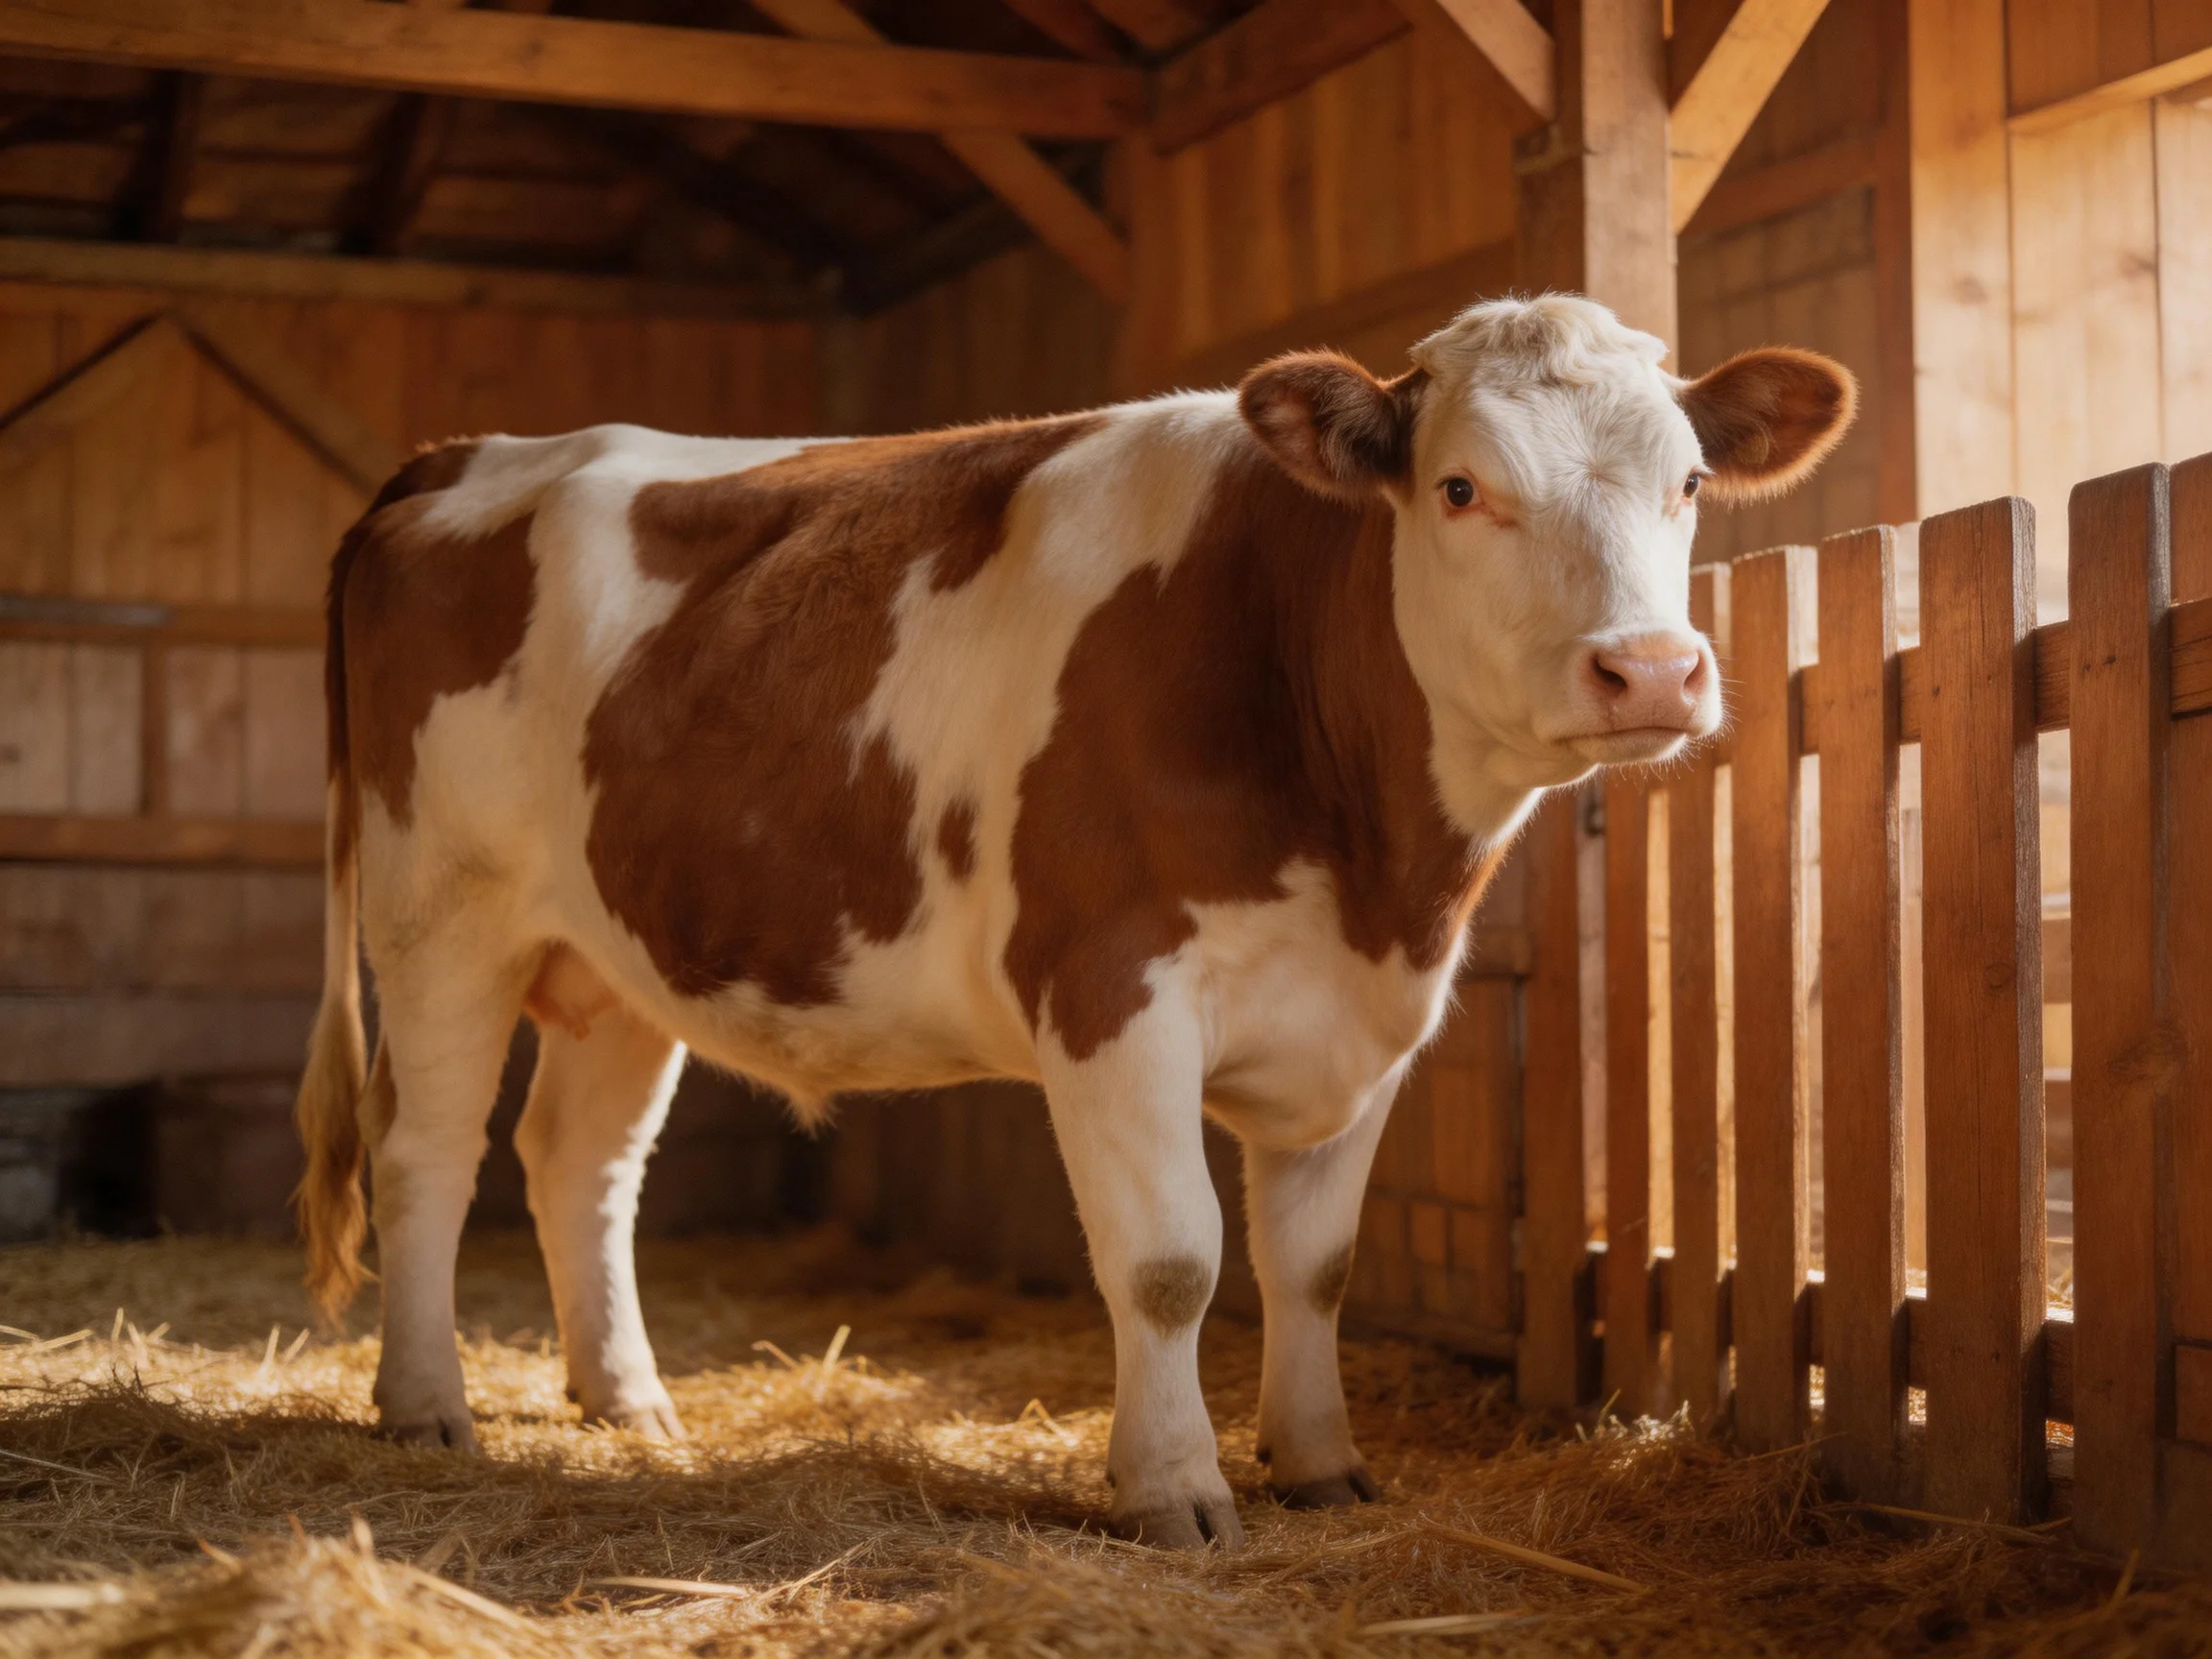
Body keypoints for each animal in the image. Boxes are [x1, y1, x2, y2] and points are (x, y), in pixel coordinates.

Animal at [293, 293, 1853, 1550]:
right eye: (1462, 488)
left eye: (1691, 478)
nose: (1649, 669)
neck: (1372, 861)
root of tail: (476, 454)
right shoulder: (1112, 985)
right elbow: (1171, 1261)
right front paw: (1175, 1489)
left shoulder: (1368, 1022)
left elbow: (1316, 1264)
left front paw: (1321, 1465)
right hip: (443, 912)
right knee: (426, 1149)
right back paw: (426, 1406)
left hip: (616, 952)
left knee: (582, 1161)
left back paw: (626, 1402)